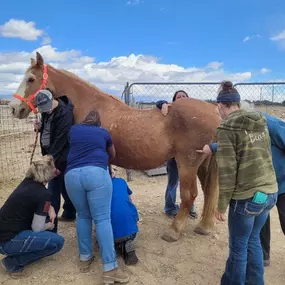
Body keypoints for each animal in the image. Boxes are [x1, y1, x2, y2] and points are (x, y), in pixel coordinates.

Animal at [7, 51, 219, 242]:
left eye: (31, 79)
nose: (14, 108)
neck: (91, 107)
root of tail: (213, 110)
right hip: (202, 164)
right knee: (208, 192)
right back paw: (204, 226)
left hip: (188, 163)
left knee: (190, 195)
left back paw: (173, 231)